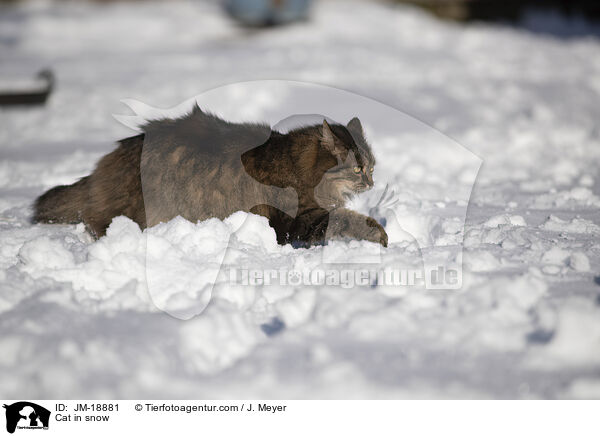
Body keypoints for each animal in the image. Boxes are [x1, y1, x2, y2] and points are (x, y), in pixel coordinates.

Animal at [34, 106, 390, 247]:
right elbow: (349, 219)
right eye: (357, 168)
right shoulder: (300, 218)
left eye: (371, 167)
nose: (371, 182)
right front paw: (381, 235)